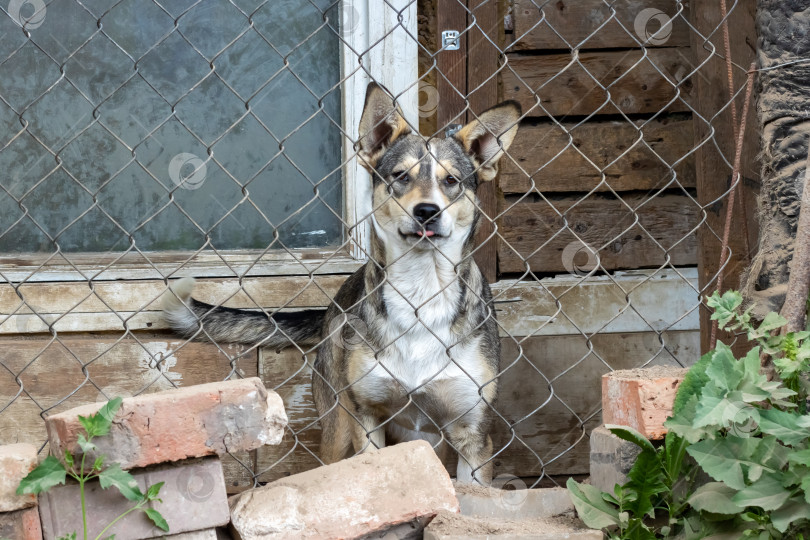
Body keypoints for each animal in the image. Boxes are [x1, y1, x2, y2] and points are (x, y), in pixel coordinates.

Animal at [161, 84, 520, 486]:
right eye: (401, 176)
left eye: (451, 181)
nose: (427, 211)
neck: (421, 292)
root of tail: (332, 306)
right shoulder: (367, 418)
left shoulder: (473, 436)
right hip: (338, 425)